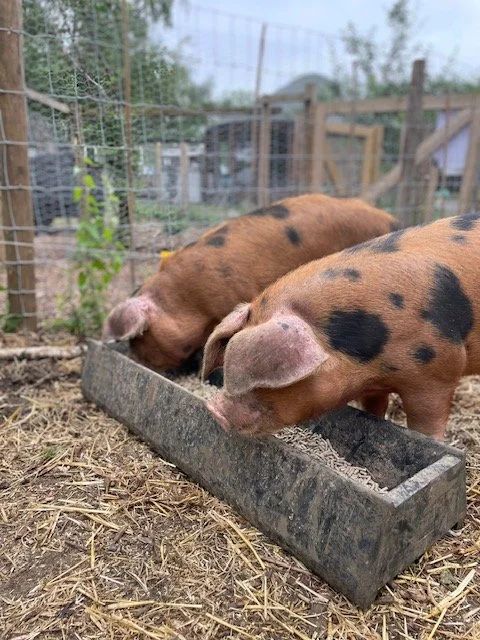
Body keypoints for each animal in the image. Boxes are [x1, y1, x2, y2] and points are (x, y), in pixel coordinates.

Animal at [202, 212, 480, 441]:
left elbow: (427, 421)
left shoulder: (439, 371)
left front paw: (433, 440)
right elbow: (374, 410)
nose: (214, 409)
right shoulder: (372, 388)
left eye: (263, 383)